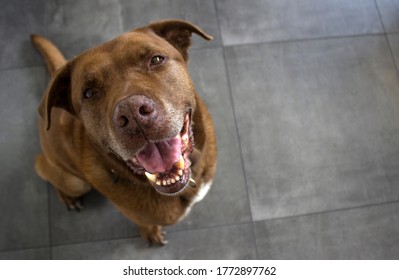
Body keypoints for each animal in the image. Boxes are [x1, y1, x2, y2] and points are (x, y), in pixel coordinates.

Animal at [30, 19, 219, 244]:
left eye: (156, 59)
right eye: (89, 92)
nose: (132, 113)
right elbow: (146, 224)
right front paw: (151, 233)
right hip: (73, 181)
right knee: (42, 167)